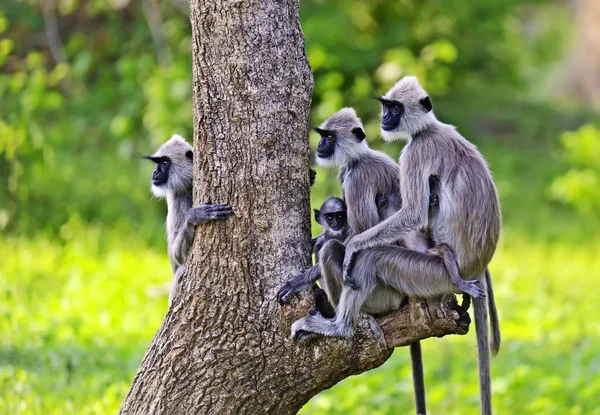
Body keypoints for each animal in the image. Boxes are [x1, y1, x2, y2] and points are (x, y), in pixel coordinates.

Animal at [145, 135, 234, 308]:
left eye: (164, 163)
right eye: (157, 163)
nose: (155, 172)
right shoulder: (176, 195)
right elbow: (176, 256)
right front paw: (194, 216)